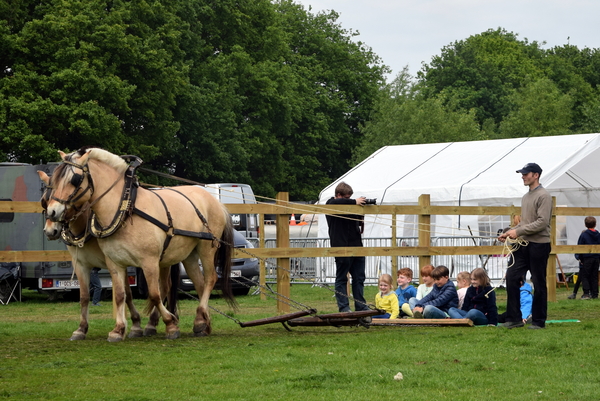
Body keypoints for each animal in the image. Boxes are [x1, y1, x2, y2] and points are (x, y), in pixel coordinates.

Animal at [44, 147, 234, 340]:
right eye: (51, 186)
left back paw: (195, 320)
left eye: (74, 180)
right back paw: (202, 322)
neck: (125, 209)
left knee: (209, 279)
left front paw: (170, 324)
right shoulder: (111, 263)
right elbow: (118, 295)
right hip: (188, 255)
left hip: (206, 248)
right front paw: (116, 329)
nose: (52, 213)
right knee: (199, 284)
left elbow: (154, 294)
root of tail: (215, 201)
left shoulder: (149, 261)